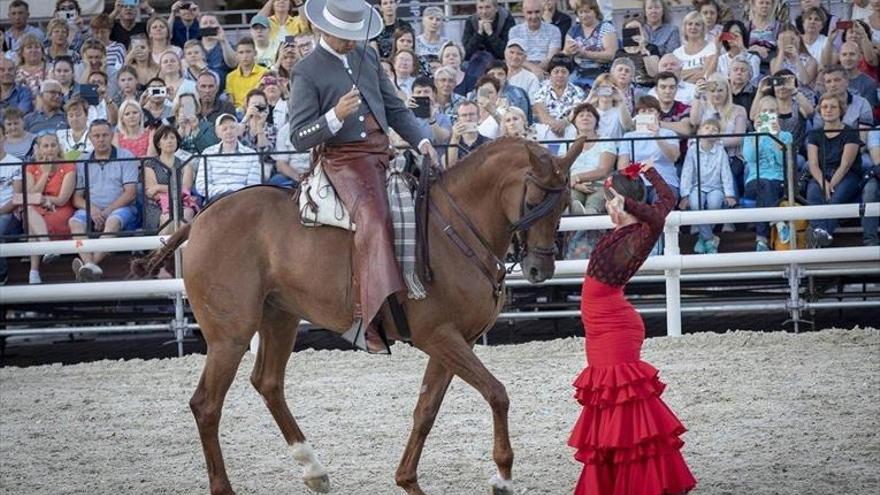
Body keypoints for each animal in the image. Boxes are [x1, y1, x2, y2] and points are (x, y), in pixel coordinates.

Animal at [136, 137, 584, 495]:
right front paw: (503, 476)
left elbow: (425, 410)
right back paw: (227, 485)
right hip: (230, 336)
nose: (540, 269)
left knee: (267, 383)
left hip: (279, 317)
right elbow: (497, 393)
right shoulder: (440, 337)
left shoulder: (456, 342)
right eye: (532, 202)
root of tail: (200, 219)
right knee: (207, 405)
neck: (454, 230)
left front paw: (407, 481)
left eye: (563, 204)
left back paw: (313, 469)